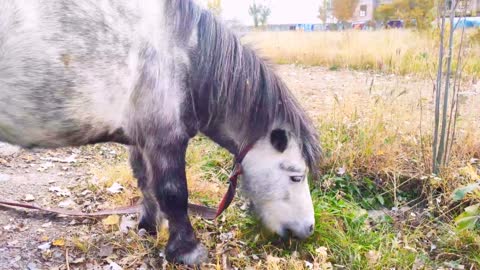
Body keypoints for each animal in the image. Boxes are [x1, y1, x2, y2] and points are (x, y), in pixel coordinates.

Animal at [0, 0, 322, 266]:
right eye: (296, 176)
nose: (309, 228)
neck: (183, 57)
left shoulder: (141, 140)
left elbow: (145, 181)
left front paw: (148, 226)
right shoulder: (165, 138)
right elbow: (173, 192)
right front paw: (187, 251)